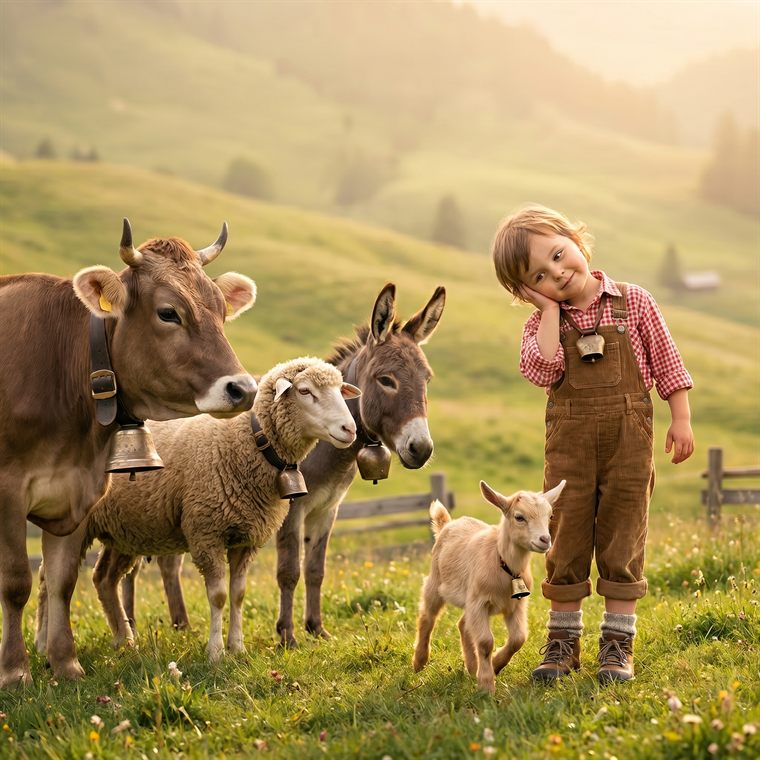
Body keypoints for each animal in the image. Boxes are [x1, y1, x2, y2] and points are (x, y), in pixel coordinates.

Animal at [0, 219, 257, 687]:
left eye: (221, 311)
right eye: (169, 312)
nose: (242, 389)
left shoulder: (76, 494)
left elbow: (62, 581)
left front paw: (65, 663)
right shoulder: (8, 492)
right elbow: (15, 582)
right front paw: (14, 672)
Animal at [35, 357, 360, 666]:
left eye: (339, 389)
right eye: (305, 391)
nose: (350, 429)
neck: (250, 442)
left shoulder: (247, 539)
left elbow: (238, 595)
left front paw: (238, 648)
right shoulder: (206, 532)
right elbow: (218, 596)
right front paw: (215, 653)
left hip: (124, 529)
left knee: (104, 579)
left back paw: (124, 640)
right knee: (48, 579)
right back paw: (42, 644)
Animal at [412, 479, 566, 694]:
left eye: (550, 515)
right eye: (519, 517)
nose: (545, 540)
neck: (504, 565)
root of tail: (447, 524)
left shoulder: (516, 604)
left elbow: (519, 638)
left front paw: (495, 665)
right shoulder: (479, 603)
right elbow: (485, 642)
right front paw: (486, 686)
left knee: (462, 624)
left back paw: (472, 667)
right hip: (435, 583)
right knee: (427, 617)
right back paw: (419, 662)